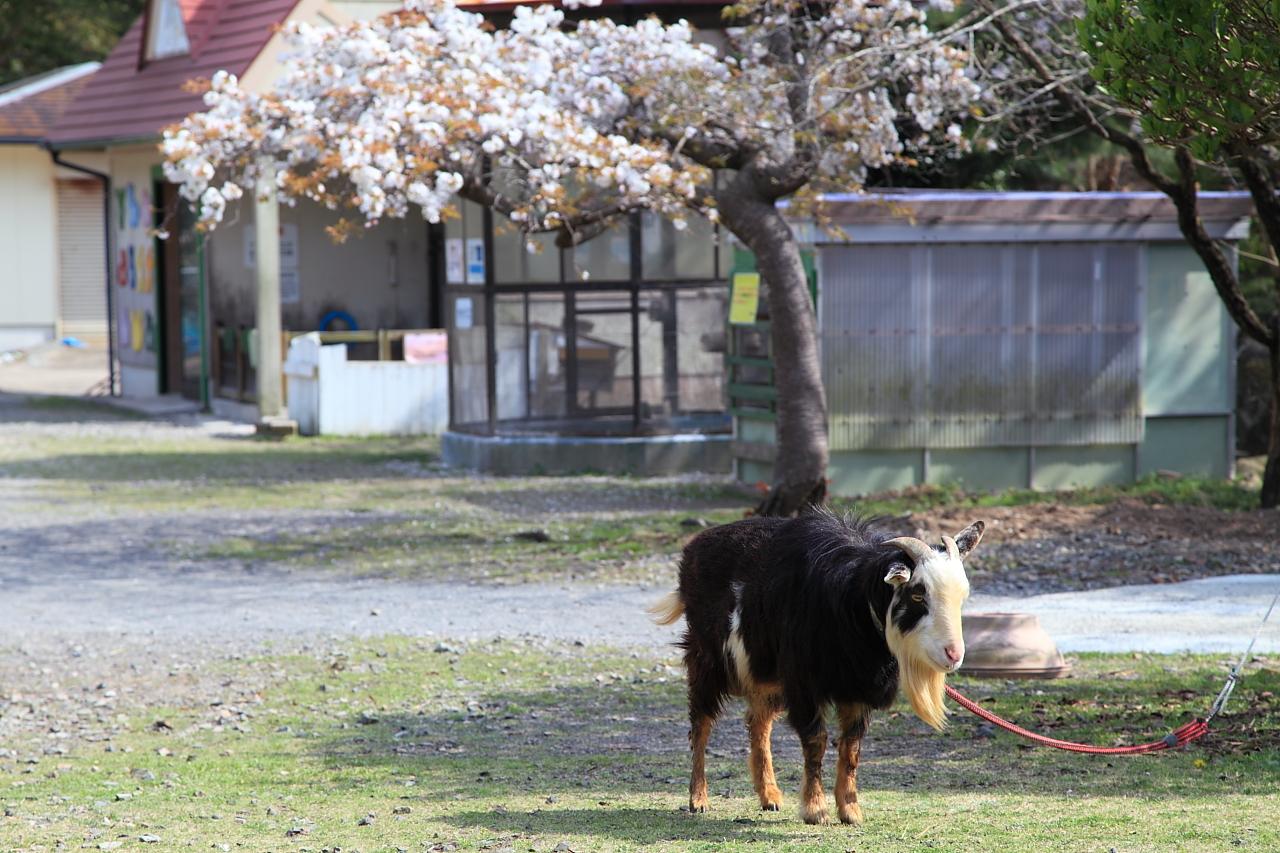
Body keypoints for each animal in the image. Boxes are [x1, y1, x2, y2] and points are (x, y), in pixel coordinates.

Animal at [655, 507, 983, 819]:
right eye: (917, 594)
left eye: (962, 596)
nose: (953, 654)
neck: (852, 600)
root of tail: (693, 550)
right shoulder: (804, 682)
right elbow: (816, 741)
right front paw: (816, 810)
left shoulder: (858, 688)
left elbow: (851, 748)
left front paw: (850, 811)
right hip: (707, 659)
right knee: (701, 723)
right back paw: (698, 799)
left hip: (767, 676)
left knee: (758, 722)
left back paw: (769, 796)